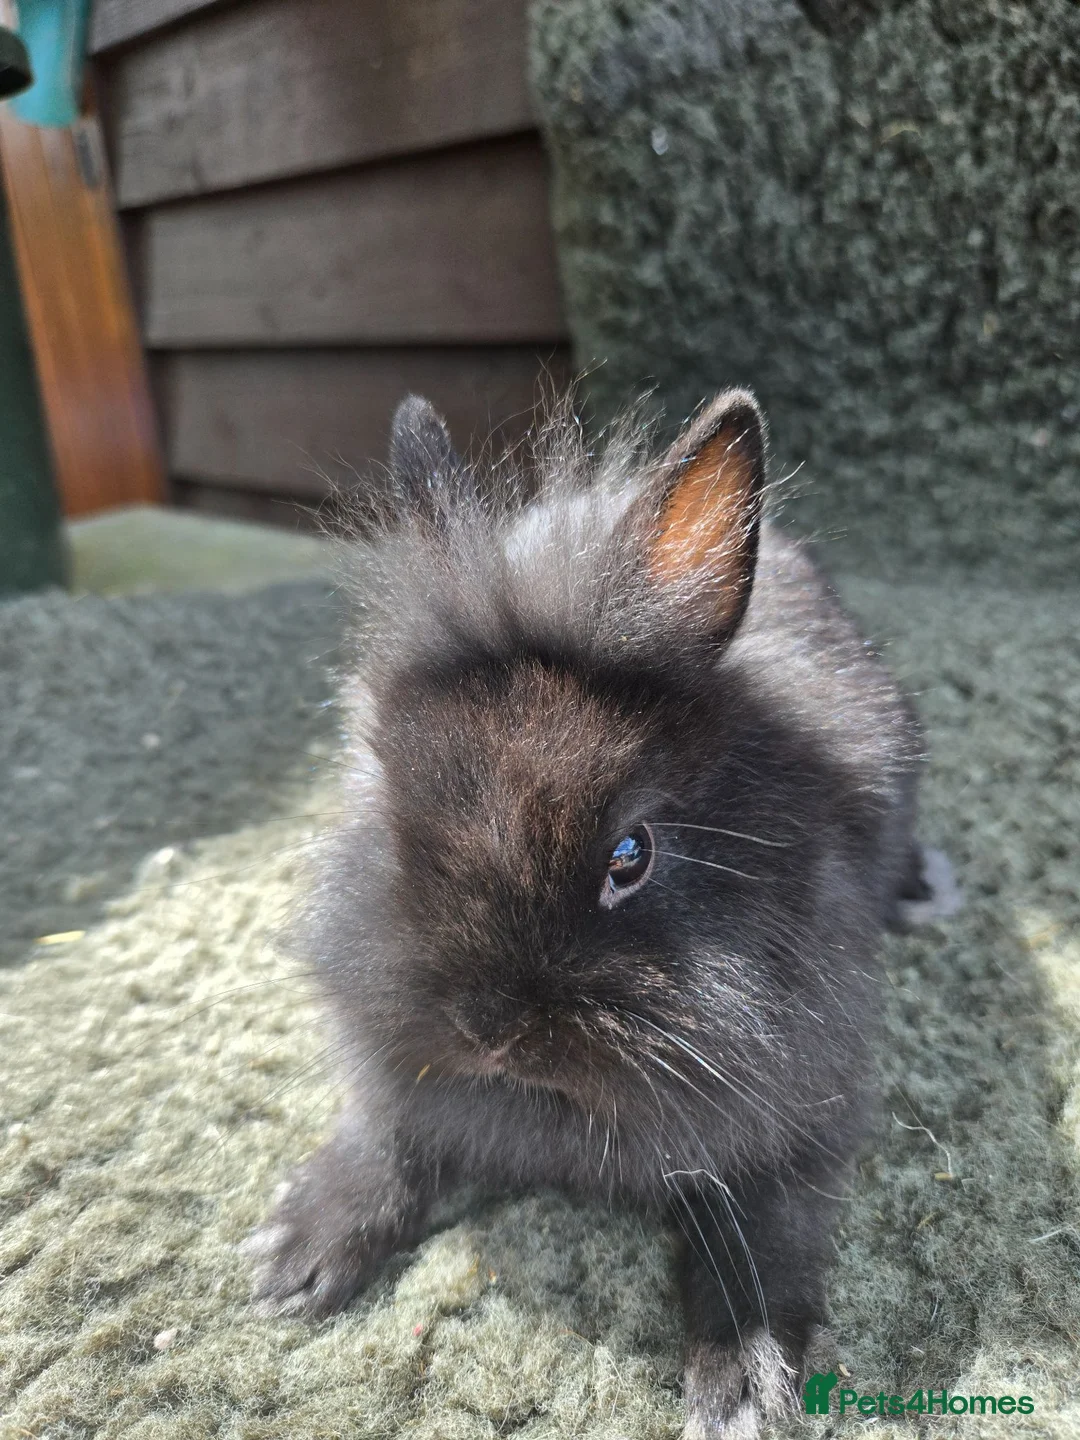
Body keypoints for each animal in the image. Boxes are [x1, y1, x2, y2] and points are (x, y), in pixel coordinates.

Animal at [247, 389, 955, 1436]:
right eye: (390, 810)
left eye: (631, 854)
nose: (488, 1029)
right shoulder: (398, 1086)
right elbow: (388, 1141)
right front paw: (292, 1258)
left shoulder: (801, 1118)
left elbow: (762, 1234)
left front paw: (744, 1382)